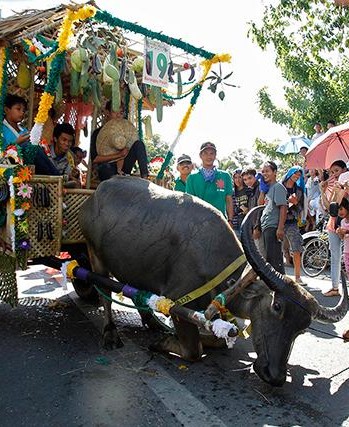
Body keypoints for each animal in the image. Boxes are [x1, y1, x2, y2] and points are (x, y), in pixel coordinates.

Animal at [77, 177, 346, 388]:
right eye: (277, 306)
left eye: (303, 328)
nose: (275, 376)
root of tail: (96, 193)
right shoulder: (177, 301)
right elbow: (194, 351)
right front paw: (163, 342)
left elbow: (217, 339)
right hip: (94, 253)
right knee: (104, 292)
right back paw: (111, 333)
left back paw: (151, 322)